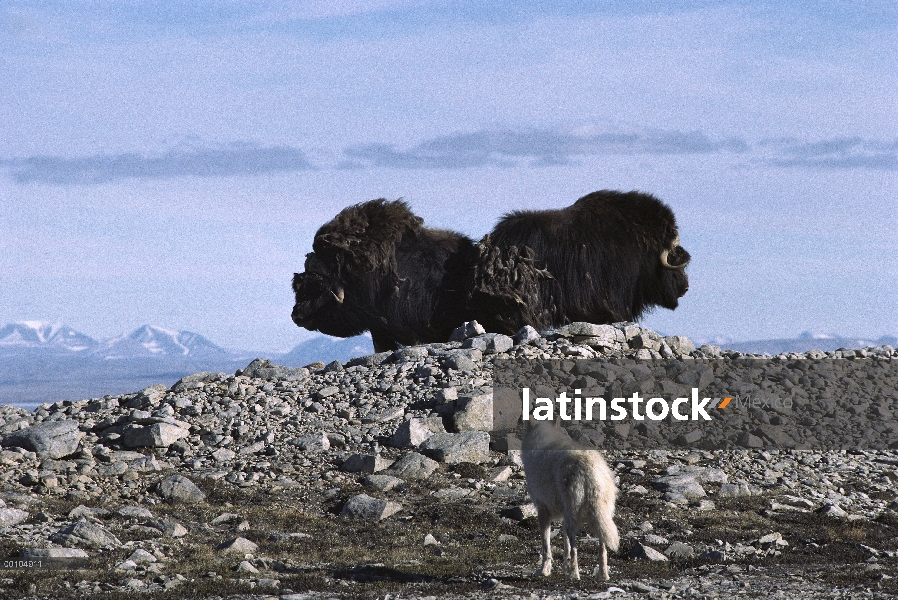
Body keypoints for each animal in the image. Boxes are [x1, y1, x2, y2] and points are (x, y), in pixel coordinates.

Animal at [520, 420, 616, 580]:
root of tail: (591, 470)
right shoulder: (563, 513)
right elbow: (565, 543)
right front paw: (564, 567)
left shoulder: (542, 509)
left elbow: (546, 546)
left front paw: (544, 570)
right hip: (601, 515)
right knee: (602, 546)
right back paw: (603, 575)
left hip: (574, 513)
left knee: (575, 547)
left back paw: (574, 574)